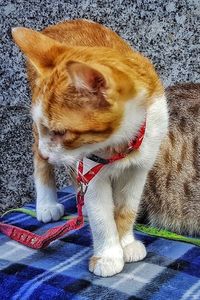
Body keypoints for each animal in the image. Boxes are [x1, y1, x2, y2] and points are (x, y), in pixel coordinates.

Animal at [12, 18, 169, 276]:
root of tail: (63, 23)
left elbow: (127, 208)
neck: (118, 146)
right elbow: (102, 215)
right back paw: (47, 203)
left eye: (61, 133)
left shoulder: (139, 169)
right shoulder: (89, 170)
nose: (48, 152)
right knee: (40, 160)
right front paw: (108, 255)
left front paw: (125, 242)